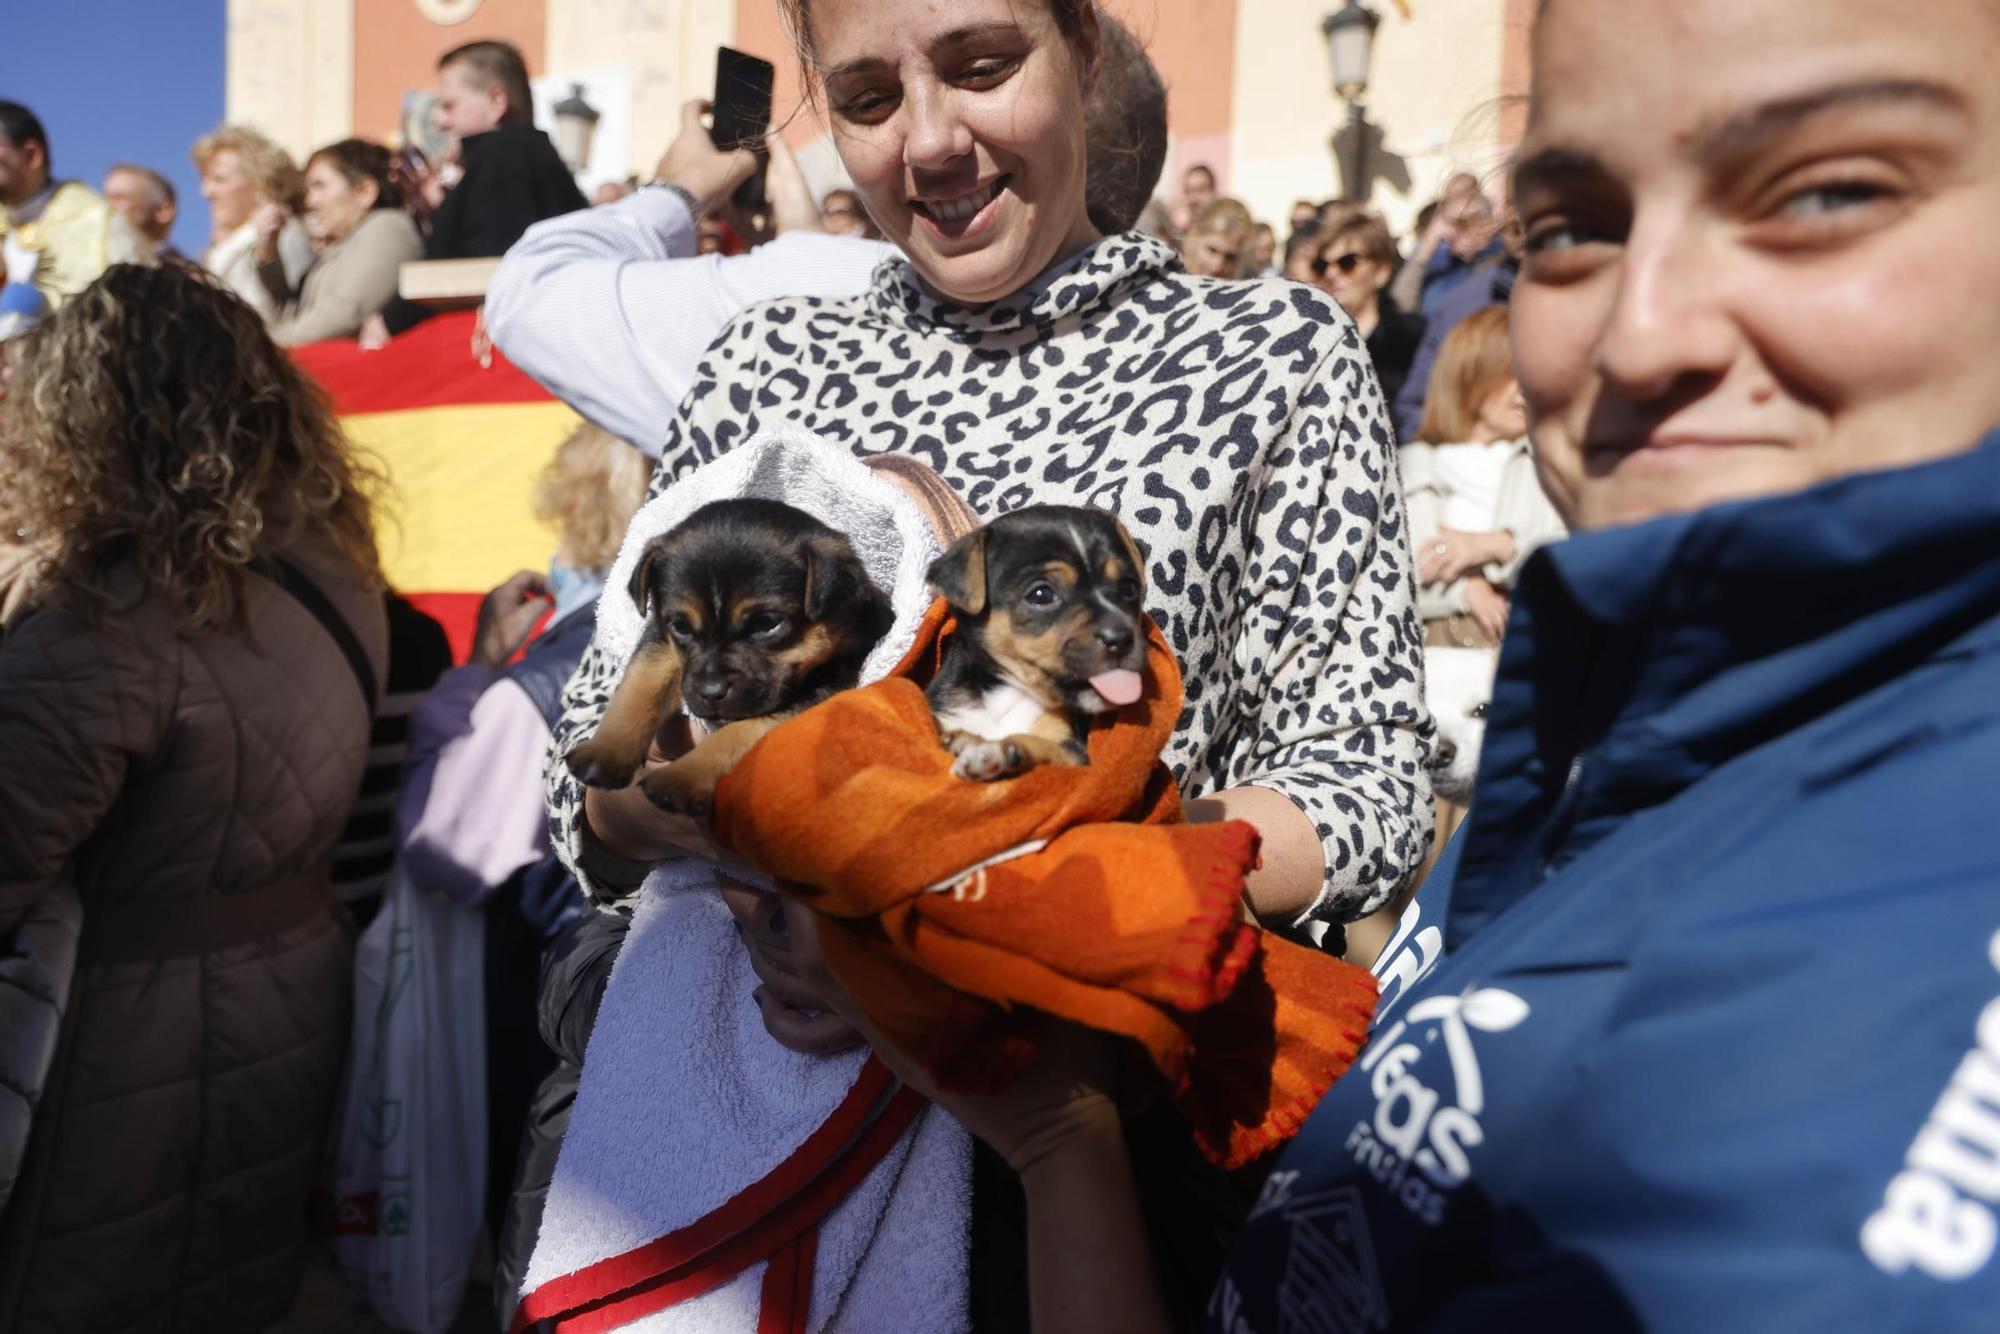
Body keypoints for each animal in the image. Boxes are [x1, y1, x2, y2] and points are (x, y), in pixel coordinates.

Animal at [572, 498, 900, 816]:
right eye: (680, 627)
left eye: (767, 623)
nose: (711, 692)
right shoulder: (659, 640)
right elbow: (640, 688)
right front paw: (604, 751)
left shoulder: (822, 690)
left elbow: (737, 732)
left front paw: (682, 777)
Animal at [924, 508, 1152, 784]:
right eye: (1041, 595)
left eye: (1129, 588)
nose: (1119, 637)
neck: (1001, 699)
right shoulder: (946, 715)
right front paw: (961, 741)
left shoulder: (1071, 753)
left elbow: (1039, 746)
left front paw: (998, 750)